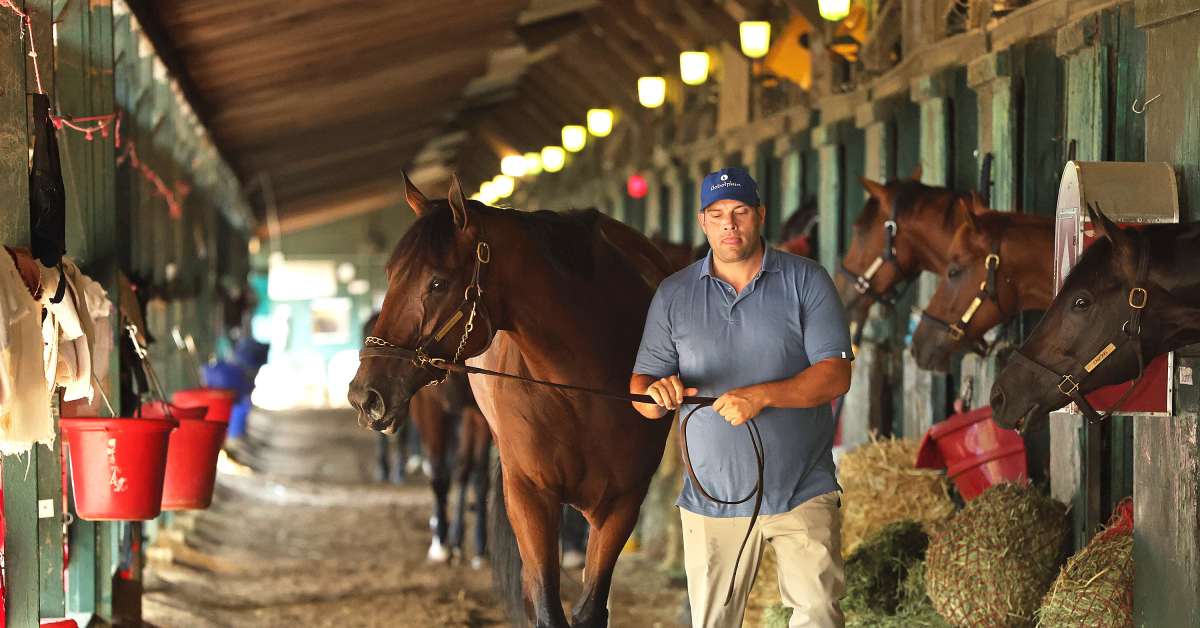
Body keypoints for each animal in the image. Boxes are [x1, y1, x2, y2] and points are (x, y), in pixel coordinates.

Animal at [350, 172, 681, 628]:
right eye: (390, 274)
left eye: (437, 282)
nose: (364, 394)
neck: (583, 385)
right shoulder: (528, 492)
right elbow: (544, 606)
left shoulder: (623, 500)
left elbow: (590, 608)